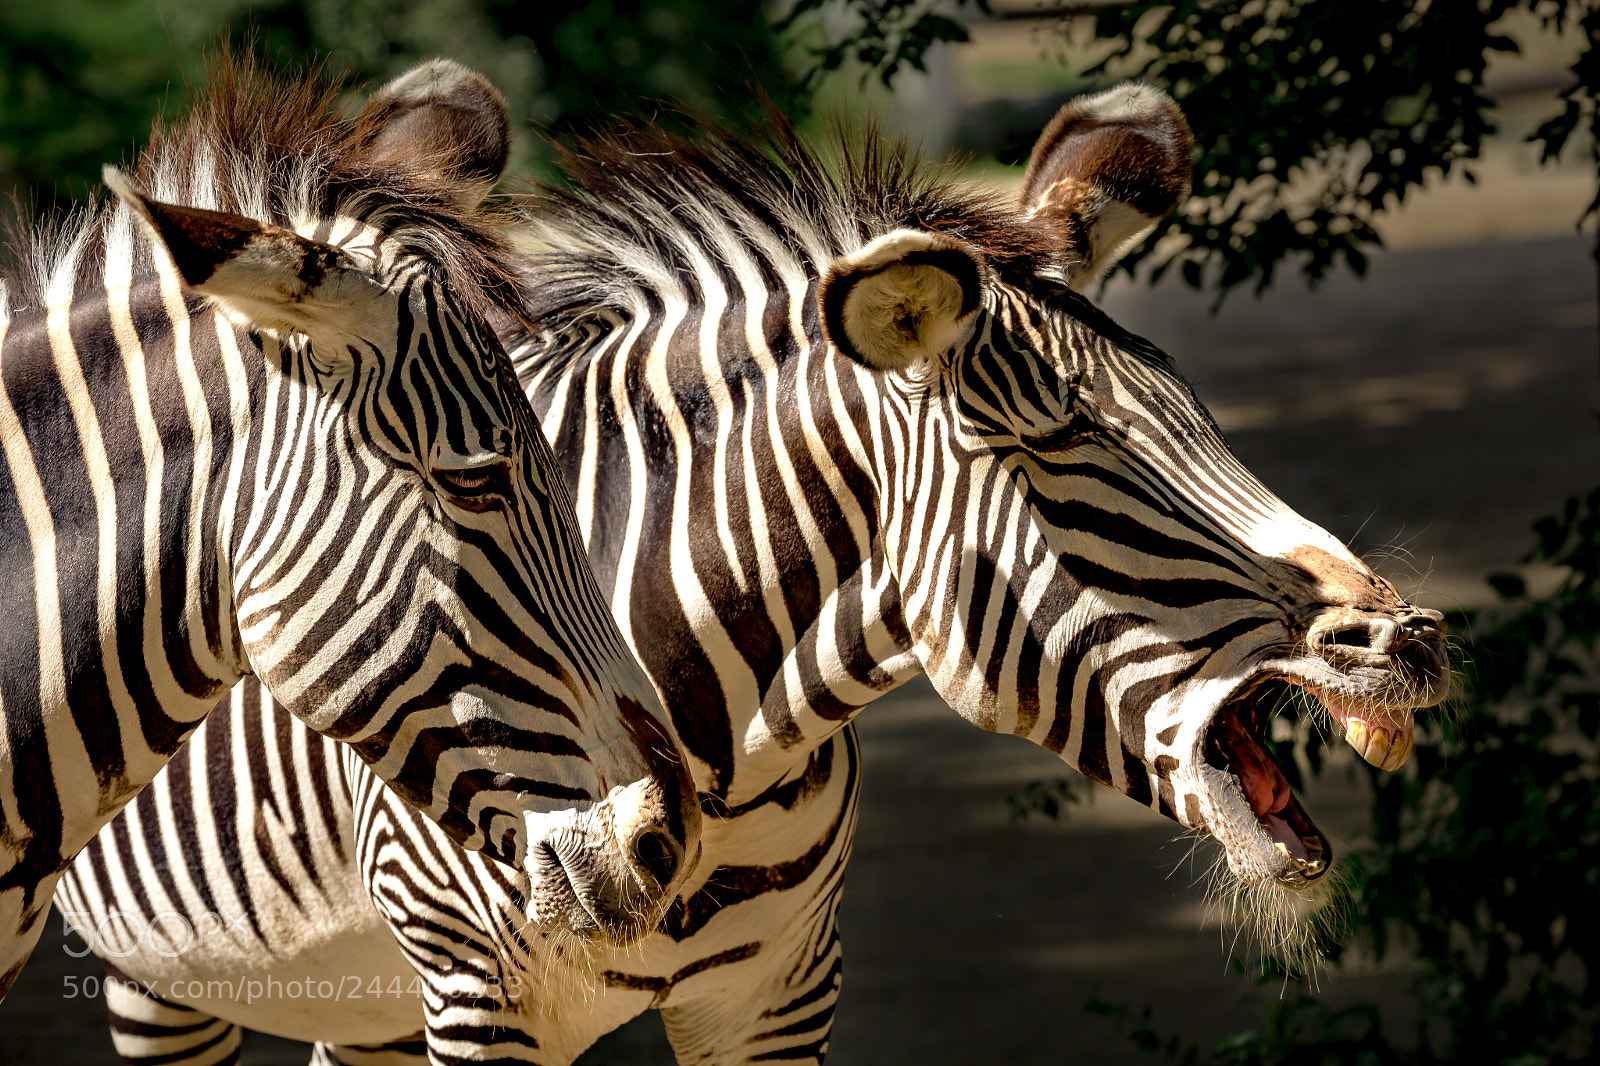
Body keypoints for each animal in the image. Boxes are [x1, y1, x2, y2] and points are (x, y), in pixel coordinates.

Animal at [60, 83, 1450, 1063]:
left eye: (1197, 412)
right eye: (1064, 447)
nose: (1409, 642)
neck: (722, 751)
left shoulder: (778, 995)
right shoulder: (475, 1002)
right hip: (162, 973)